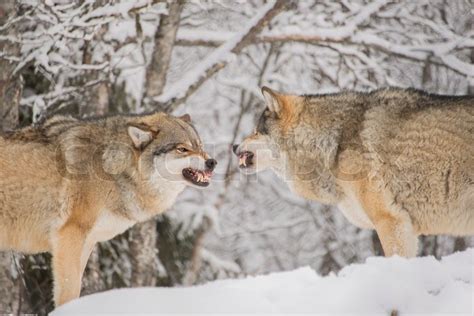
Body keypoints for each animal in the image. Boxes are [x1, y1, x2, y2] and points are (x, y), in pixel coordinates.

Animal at [0, 111, 218, 306]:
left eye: (199, 146)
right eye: (183, 149)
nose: (212, 162)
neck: (113, 170)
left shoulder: (87, 242)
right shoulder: (70, 234)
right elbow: (68, 290)